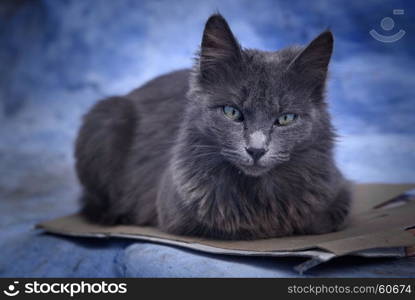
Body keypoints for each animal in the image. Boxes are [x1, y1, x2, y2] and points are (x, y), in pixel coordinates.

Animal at [75, 14, 352, 240]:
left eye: (286, 118)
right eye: (232, 112)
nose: (256, 150)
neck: (258, 194)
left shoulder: (338, 197)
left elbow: (318, 223)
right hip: (106, 118)